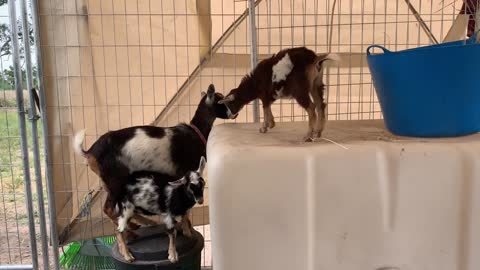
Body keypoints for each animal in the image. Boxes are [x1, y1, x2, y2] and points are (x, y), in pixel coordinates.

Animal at [72, 84, 228, 262]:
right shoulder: (184, 172)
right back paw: (130, 234)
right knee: (109, 209)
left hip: (107, 183)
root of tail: (89, 152)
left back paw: (140, 224)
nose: (234, 112)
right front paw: (187, 230)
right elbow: (185, 206)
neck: (195, 132)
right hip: (115, 181)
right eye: (220, 99)